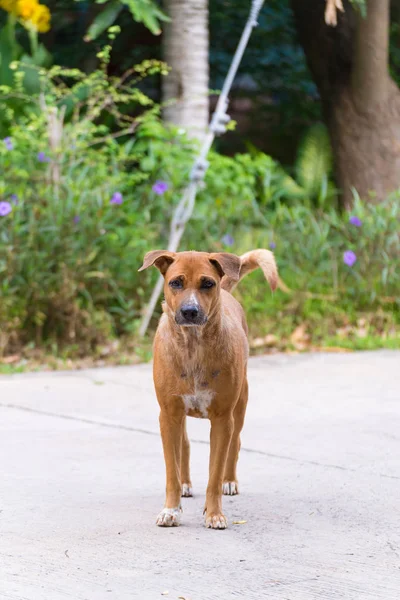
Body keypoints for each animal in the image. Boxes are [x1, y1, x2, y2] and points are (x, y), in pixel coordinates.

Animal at [140, 248, 278, 528]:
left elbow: (214, 474)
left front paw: (214, 513)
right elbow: (172, 469)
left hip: (241, 403)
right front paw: (171, 509)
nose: (190, 311)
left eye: (207, 283)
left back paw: (230, 481)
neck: (193, 346)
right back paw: (185, 484)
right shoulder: (168, 415)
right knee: (184, 445)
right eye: (176, 282)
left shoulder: (223, 419)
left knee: (235, 443)